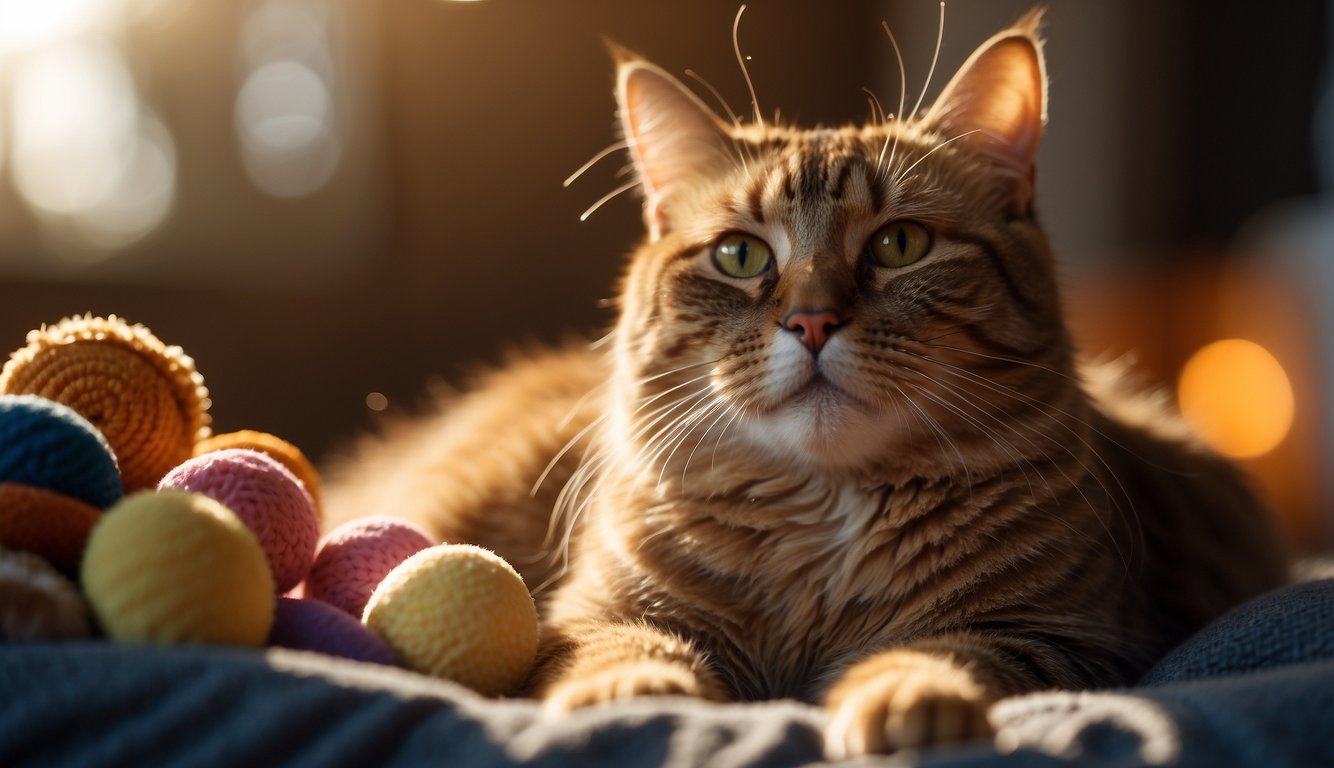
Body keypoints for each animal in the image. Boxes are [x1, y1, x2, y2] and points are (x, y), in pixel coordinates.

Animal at [317, 10, 1285, 757]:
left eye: (900, 244)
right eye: (741, 257)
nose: (813, 322)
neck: (822, 521)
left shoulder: (1068, 636)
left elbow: (954, 654)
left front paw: (908, 697)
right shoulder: (591, 610)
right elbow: (618, 650)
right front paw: (636, 691)